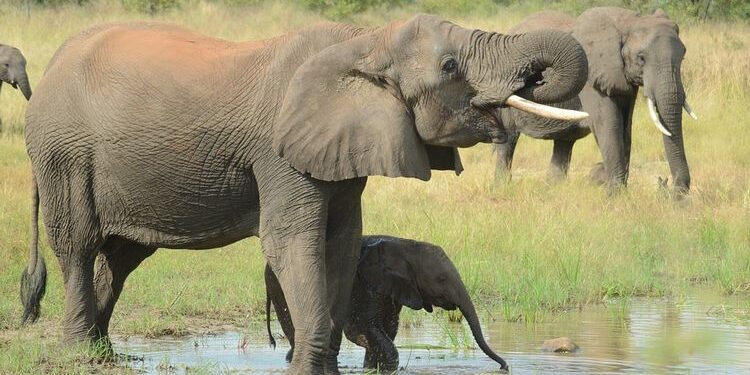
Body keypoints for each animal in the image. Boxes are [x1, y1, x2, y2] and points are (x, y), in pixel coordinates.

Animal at [266, 236, 512, 372]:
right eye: (441, 279)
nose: (505, 366)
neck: (406, 245)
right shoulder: (367, 284)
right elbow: (366, 328)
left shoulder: (394, 290)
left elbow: (388, 330)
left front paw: (371, 367)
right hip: (281, 286)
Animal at [496, 7, 696, 195]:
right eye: (641, 58)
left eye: (683, 56)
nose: (669, 189)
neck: (629, 22)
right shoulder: (590, 75)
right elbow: (609, 124)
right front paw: (614, 193)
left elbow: (626, 126)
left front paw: (608, 183)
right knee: (509, 139)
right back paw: (503, 186)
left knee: (563, 142)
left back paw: (553, 189)